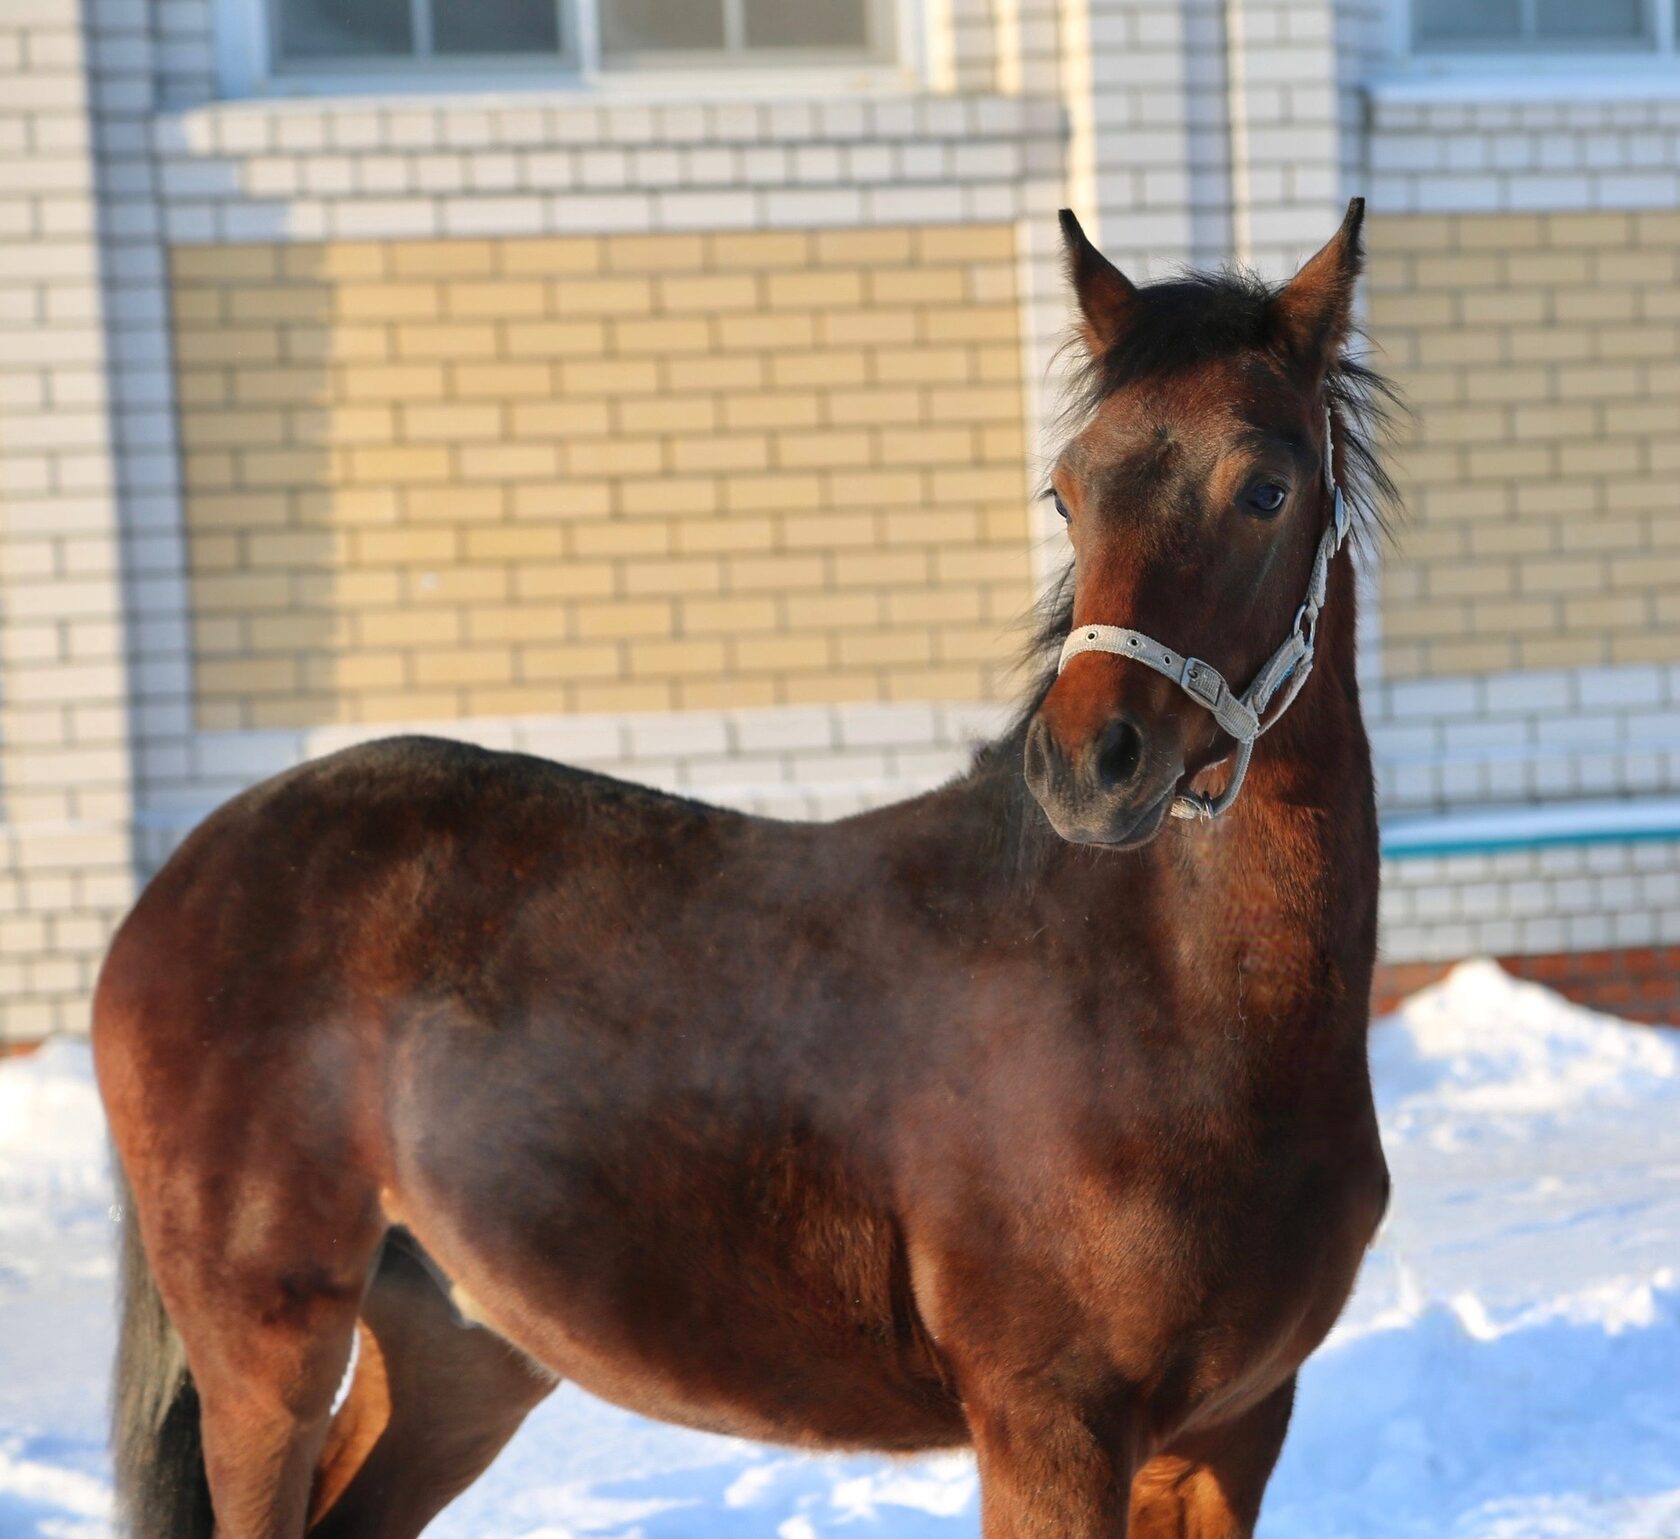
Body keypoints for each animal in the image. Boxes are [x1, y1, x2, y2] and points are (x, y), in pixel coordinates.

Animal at [98, 195, 1397, 1539]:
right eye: (1066, 491)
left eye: (1265, 488)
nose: (1092, 766)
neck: (1166, 1022)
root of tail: (192, 870)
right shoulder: (1052, 1431)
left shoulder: (1229, 1438)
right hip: (267, 1353)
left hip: (462, 1350)